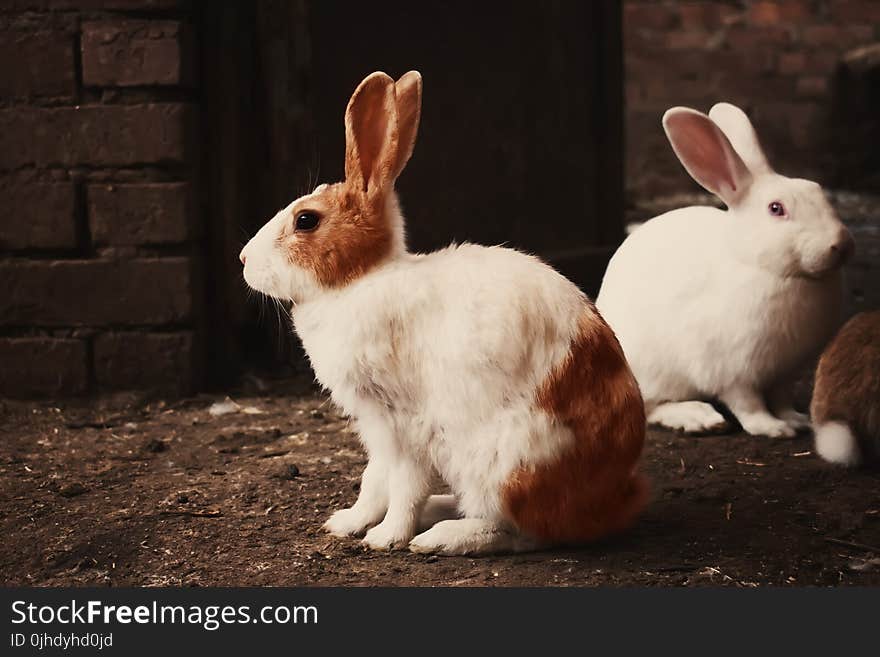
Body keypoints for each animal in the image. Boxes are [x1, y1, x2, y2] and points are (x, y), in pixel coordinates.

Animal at [239, 70, 648, 552]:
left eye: (306, 220)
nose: (243, 260)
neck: (359, 280)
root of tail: (612, 503)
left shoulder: (402, 424)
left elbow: (403, 484)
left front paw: (385, 537)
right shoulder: (375, 427)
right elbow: (373, 479)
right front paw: (346, 522)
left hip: (503, 464)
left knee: (519, 531)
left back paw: (439, 537)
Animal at [596, 102, 856, 438]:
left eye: (818, 190)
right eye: (776, 209)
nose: (841, 244)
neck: (767, 268)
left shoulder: (783, 374)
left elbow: (781, 398)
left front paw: (797, 420)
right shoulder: (732, 370)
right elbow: (748, 404)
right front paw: (772, 428)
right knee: (651, 406)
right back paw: (699, 417)